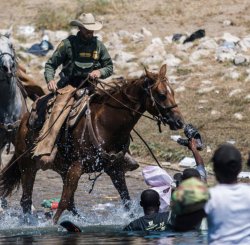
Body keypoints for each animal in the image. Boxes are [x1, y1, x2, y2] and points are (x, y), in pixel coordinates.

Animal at [0, 64, 184, 223]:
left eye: (173, 92)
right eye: (161, 94)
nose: (179, 121)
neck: (105, 124)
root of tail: (23, 122)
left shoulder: (115, 169)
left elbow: (126, 200)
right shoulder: (77, 166)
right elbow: (63, 201)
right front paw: (52, 225)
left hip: (62, 168)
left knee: (70, 203)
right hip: (28, 166)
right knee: (26, 200)